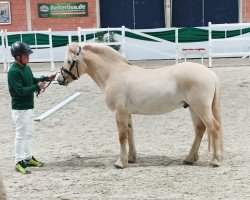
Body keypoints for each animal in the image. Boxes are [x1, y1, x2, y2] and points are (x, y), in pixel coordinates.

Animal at [57, 42, 224, 169]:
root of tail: (210, 74)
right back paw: (190, 158)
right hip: (192, 108)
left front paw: (120, 163)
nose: (59, 79)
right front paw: (131, 158)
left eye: (69, 61)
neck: (113, 73)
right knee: (200, 129)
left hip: (201, 108)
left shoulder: (119, 112)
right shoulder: (127, 113)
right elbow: (130, 134)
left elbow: (122, 136)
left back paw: (216, 160)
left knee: (213, 127)